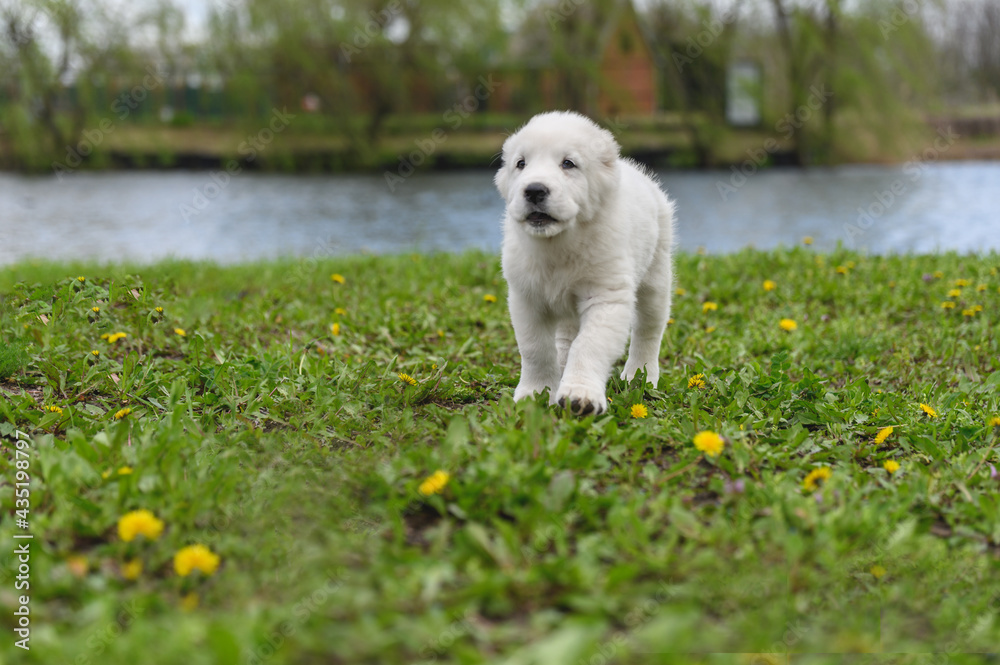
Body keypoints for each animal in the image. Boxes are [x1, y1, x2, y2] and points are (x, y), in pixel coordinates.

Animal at [496, 113, 676, 416]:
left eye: (568, 163)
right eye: (521, 164)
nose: (534, 190)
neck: (558, 246)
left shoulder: (606, 298)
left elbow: (588, 345)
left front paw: (580, 396)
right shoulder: (526, 298)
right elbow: (535, 348)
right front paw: (536, 393)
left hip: (656, 277)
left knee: (648, 330)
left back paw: (640, 375)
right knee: (565, 338)